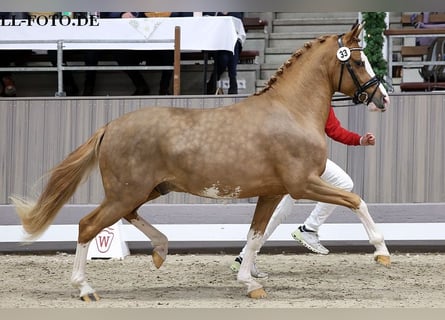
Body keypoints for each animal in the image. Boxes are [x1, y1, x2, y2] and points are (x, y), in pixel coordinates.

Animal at [10, 23, 388, 302]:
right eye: (358, 62)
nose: (382, 98)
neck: (290, 112)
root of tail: (110, 127)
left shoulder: (272, 192)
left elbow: (255, 235)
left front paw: (250, 282)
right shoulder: (303, 183)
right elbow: (355, 200)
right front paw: (381, 252)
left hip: (148, 190)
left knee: (126, 217)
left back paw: (160, 250)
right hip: (126, 193)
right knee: (88, 225)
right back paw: (86, 288)